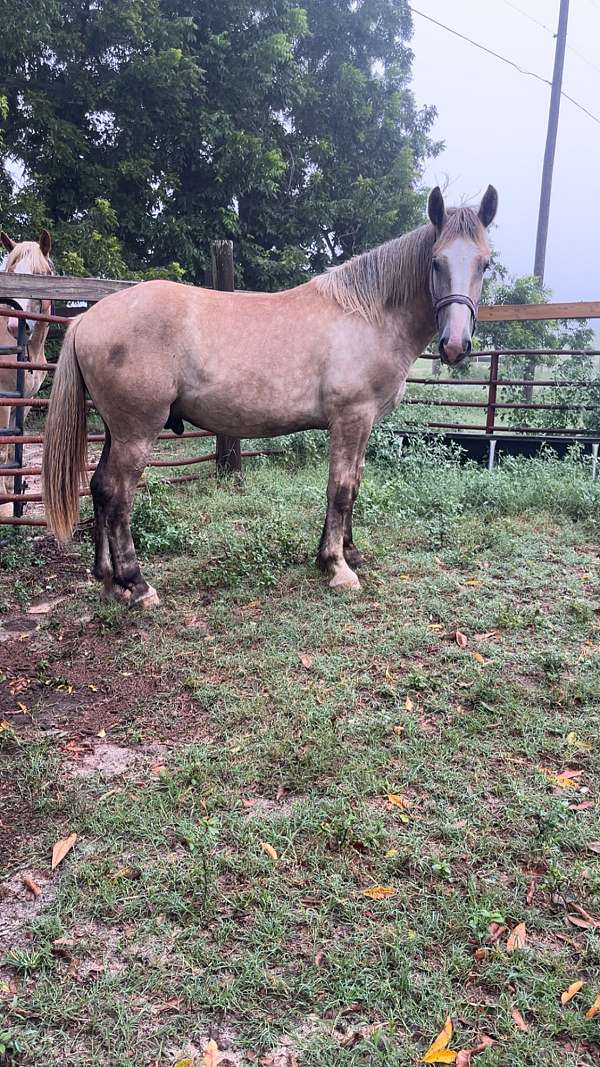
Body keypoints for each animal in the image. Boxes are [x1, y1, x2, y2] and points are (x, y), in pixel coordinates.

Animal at [42, 185, 498, 606]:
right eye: (436, 261)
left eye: (485, 263)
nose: (455, 345)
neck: (368, 316)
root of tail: (86, 318)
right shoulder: (351, 419)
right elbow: (340, 488)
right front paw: (337, 566)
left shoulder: (363, 424)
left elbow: (353, 484)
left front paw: (346, 552)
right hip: (136, 433)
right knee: (119, 495)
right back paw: (137, 585)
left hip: (116, 431)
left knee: (100, 488)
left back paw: (108, 580)